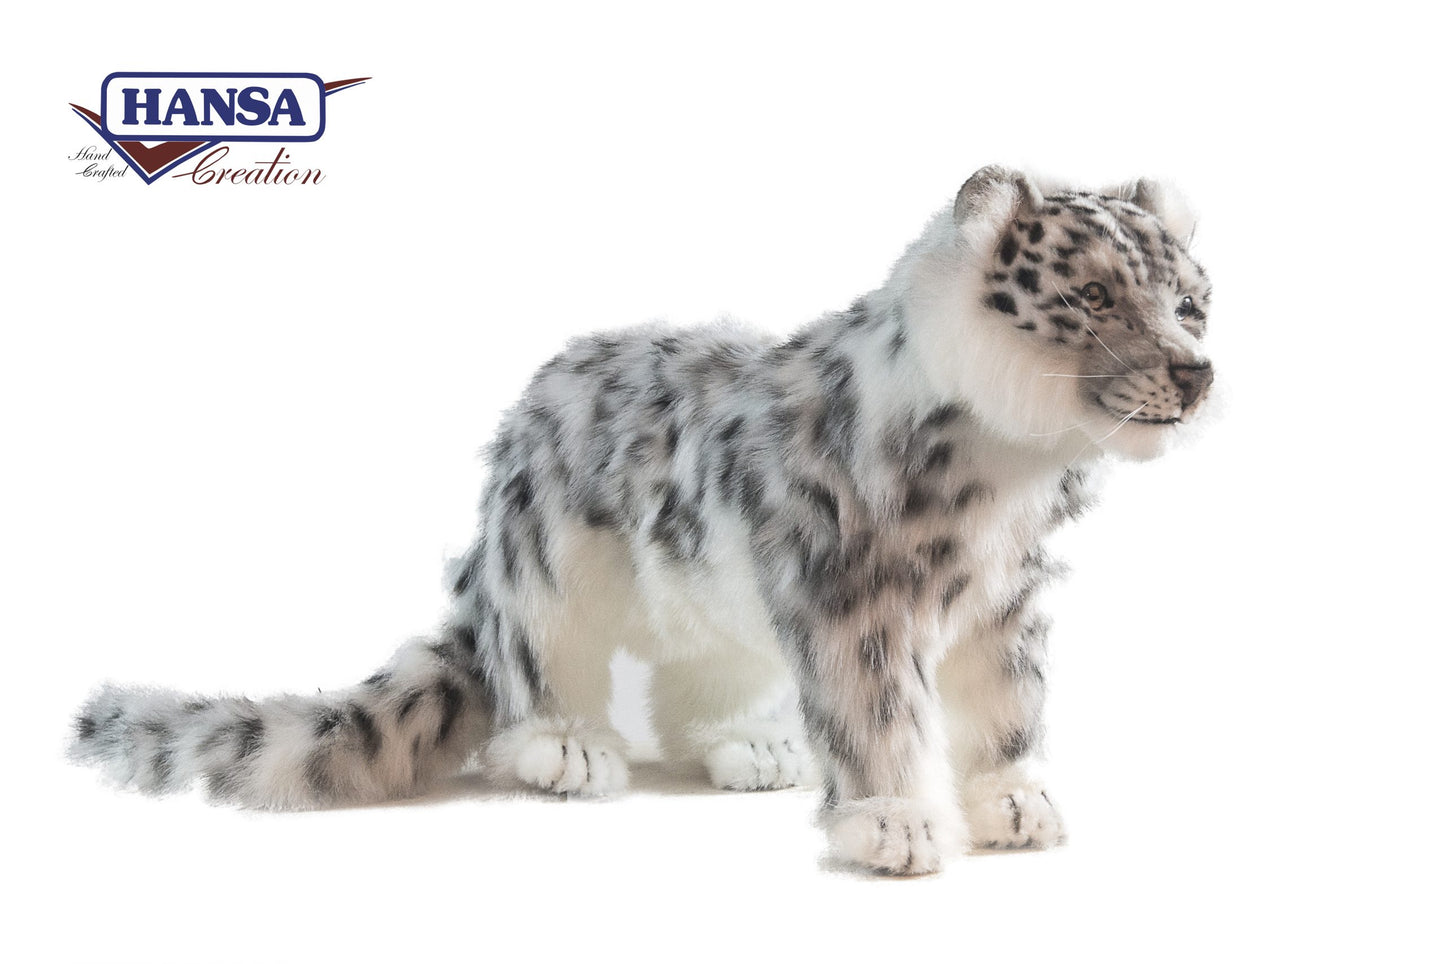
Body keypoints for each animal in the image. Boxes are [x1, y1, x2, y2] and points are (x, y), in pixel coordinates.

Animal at [70, 165, 1214, 875]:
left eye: (1191, 299)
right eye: (1093, 296)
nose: (1196, 369)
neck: (1007, 480)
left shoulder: (1006, 601)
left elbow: (1009, 706)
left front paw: (1013, 804)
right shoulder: (853, 597)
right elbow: (876, 710)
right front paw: (890, 820)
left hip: (721, 612)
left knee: (695, 684)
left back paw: (750, 746)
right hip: (545, 576)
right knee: (533, 676)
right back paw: (567, 751)